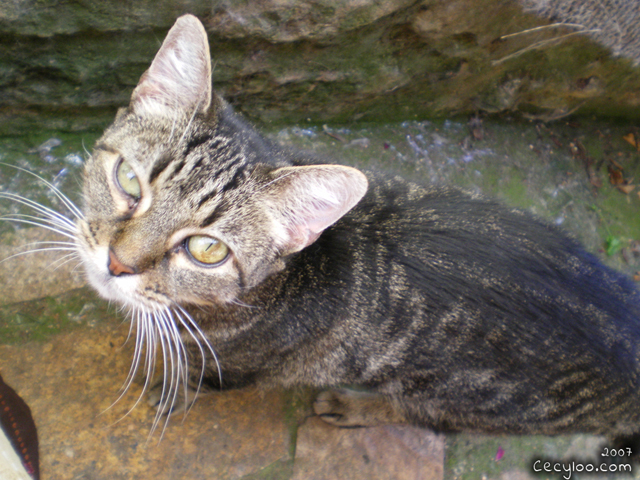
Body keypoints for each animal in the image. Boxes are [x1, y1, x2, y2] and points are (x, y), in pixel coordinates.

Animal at [11, 12, 640, 446]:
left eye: (207, 250)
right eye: (129, 181)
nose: (116, 264)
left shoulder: (233, 368)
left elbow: (195, 373)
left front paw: (166, 383)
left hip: (461, 400)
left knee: (434, 420)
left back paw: (353, 407)